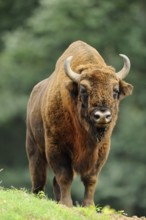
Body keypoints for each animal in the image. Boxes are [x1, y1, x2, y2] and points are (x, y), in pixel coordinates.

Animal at [25, 40, 133, 207]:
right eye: (83, 89)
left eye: (115, 91)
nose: (102, 115)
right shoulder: (57, 147)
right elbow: (64, 176)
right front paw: (67, 204)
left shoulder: (101, 151)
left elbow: (90, 179)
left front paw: (89, 205)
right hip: (34, 147)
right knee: (39, 177)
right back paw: (39, 197)